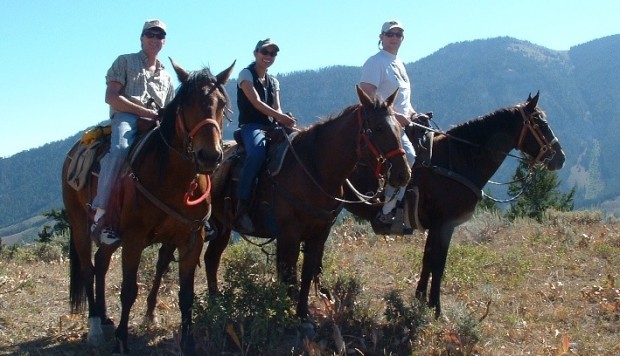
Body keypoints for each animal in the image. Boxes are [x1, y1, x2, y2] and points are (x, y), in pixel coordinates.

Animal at [62, 59, 235, 354]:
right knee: (87, 266)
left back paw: (105, 318)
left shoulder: (191, 240)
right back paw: (95, 327)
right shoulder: (134, 239)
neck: (175, 180)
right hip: (79, 224)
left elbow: (186, 294)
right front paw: (122, 341)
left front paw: (188, 342)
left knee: (101, 262)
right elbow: (129, 290)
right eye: (185, 104)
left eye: (222, 103)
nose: (209, 156)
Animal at [195, 87, 412, 322]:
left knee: (211, 258)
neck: (314, 167)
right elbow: (290, 275)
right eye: (378, 128)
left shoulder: (319, 233)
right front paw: (289, 312)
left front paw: (303, 313)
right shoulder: (289, 234)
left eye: (399, 127)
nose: (403, 174)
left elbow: (307, 272)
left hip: (223, 225)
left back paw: (216, 303)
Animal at [344, 92, 568, 318]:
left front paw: (420, 299)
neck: (459, 159)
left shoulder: (435, 227)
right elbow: (439, 265)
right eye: (541, 123)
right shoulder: (445, 225)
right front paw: (436, 309)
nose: (560, 158)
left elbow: (428, 260)